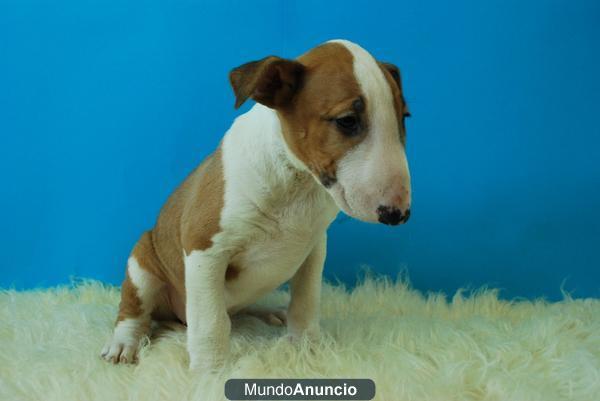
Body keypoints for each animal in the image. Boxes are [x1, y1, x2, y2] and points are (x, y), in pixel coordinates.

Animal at [102, 39, 412, 368]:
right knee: (136, 313)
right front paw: (210, 369)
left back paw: (271, 313)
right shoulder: (204, 248)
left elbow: (305, 302)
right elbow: (211, 321)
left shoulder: (314, 249)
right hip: (141, 265)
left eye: (404, 117)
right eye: (347, 121)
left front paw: (307, 349)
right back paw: (123, 343)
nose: (398, 214)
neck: (296, 181)